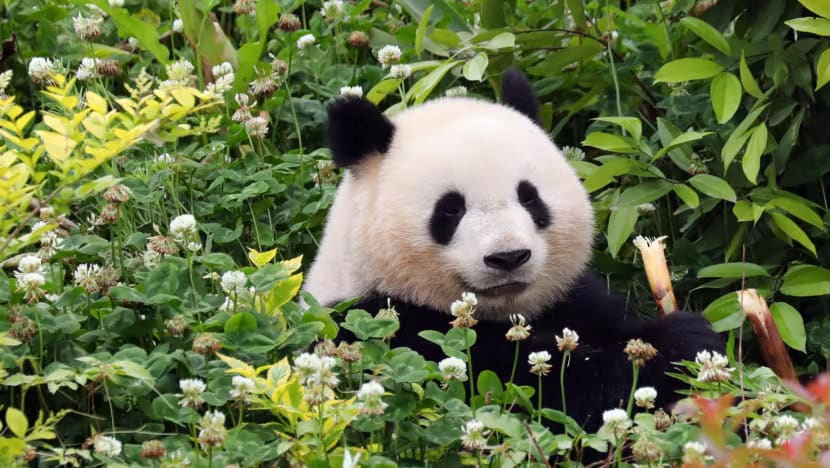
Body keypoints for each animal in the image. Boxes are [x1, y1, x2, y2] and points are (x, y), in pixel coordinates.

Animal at [304, 69, 724, 432]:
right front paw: (679, 342)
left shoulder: (573, 298)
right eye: (450, 209)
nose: (508, 257)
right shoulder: (384, 328)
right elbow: (546, 388)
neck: (505, 314)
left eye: (529, 197)